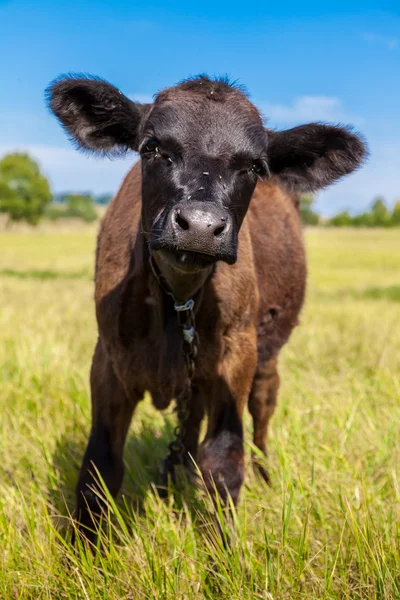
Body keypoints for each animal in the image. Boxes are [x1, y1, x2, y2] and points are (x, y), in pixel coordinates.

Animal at [47, 74, 366, 540]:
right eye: (152, 147)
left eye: (255, 166)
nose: (200, 226)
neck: (177, 300)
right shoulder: (107, 359)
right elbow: (99, 467)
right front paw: (85, 550)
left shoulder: (236, 357)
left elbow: (224, 459)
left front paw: (223, 552)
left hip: (266, 354)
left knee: (262, 407)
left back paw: (263, 473)